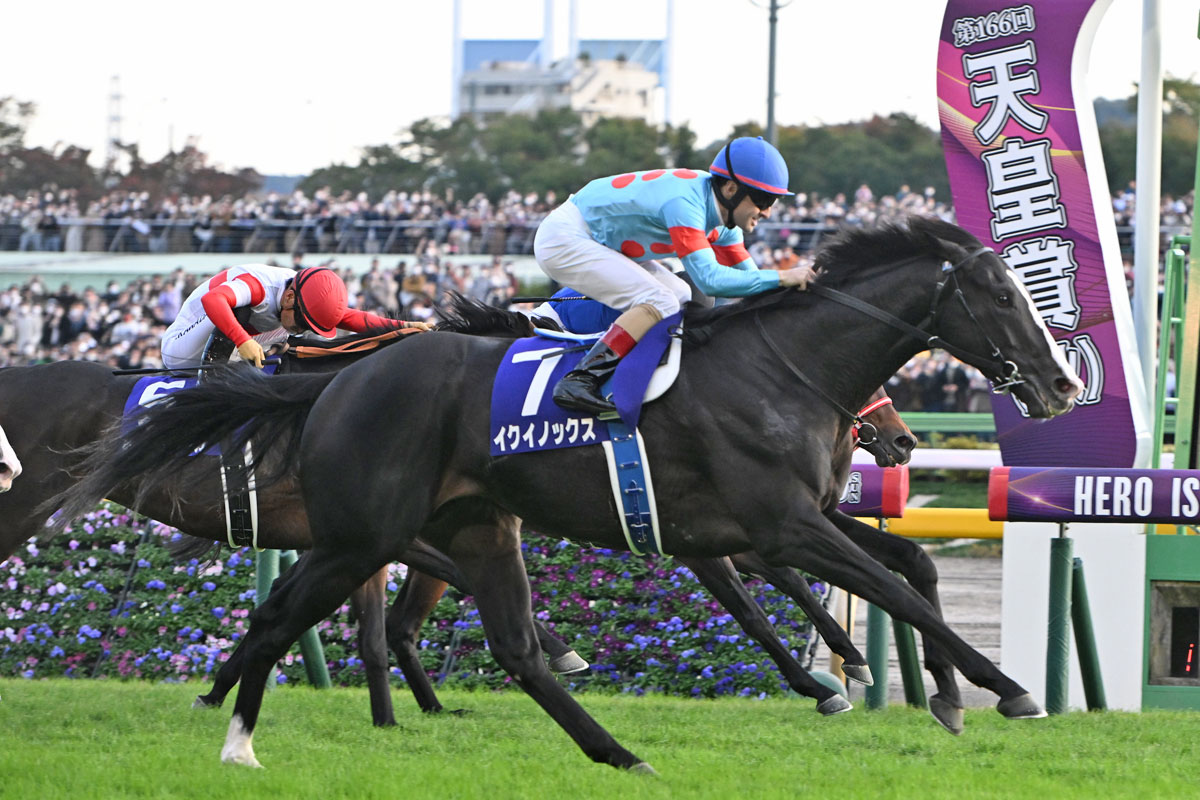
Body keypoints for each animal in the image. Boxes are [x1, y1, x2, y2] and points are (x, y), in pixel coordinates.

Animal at [56, 217, 1082, 770]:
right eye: (1003, 296)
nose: (1063, 384)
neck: (780, 368)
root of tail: (336, 378)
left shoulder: (783, 520)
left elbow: (906, 567)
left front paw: (935, 691)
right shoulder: (774, 526)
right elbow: (890, 587)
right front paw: (999, 690)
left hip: (464, 528)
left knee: (501, 644)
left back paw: (614, 751)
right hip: (363, 533)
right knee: (286, 618)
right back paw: (237, 735)